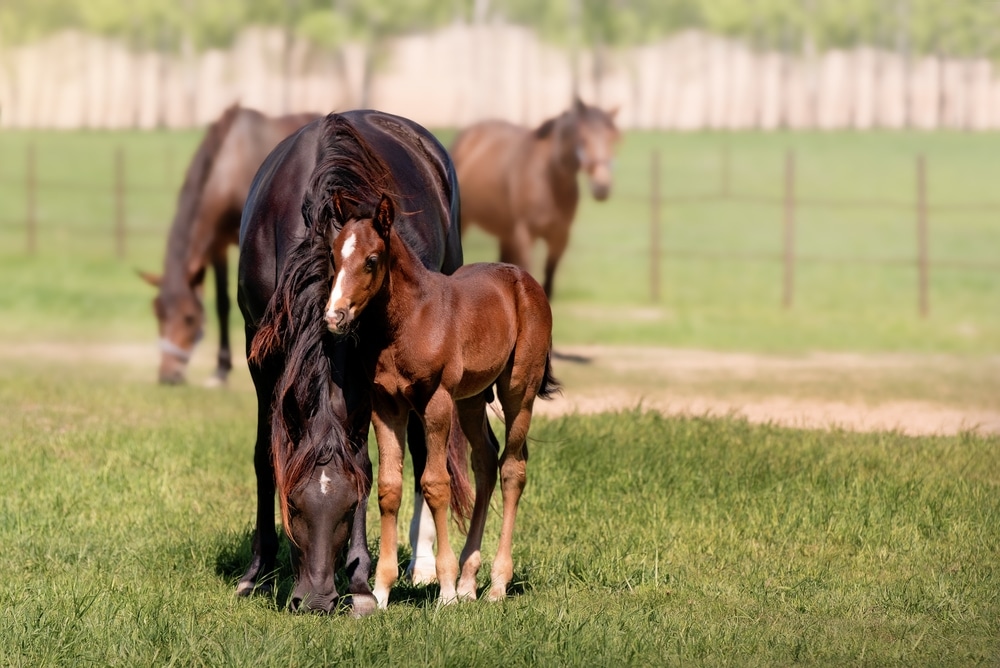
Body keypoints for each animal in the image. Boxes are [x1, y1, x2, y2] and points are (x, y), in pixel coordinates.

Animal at [139, 102, 318, 384]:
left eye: (189, 318)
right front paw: (221, 370)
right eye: (158, 313)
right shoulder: (217, 245)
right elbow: (222, 304)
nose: (169, 376)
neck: (230, 167)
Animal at [236, 111, 470, 616]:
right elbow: (266, 456)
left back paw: (422, 566)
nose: (317, 599)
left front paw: (362, 580)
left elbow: (365, 457)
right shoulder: (258, 353)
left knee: (422, 447)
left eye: (347, 509)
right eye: (293, 506)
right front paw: (255, 572)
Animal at [328, 188, 564, 604]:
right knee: (485, 461)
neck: (408, 321)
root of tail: (524, 279)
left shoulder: (435, 401)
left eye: (371, 260)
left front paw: (446, 589)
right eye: (334, 255)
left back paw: (497, 584)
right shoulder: (386, 405)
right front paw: (382, 592)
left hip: (519, 391)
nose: (334, 316)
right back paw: (471, 580)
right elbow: (390, 487)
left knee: (512, 468)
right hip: (471, 399)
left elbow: (436, 484)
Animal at [452, 96, 616, 298]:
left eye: (613, 138)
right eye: (583, 138)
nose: (602, 186)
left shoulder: (560, 237)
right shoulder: (525, 235)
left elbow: (549, 282)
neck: (550, 178)